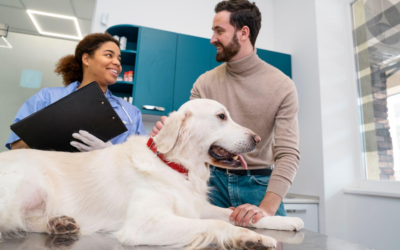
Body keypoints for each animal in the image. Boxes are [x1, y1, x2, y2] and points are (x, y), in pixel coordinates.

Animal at [0, 98, 300, 249]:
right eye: (221, 116)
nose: (258, 139)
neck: (176, 167)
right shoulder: (144, 224)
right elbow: (219, 225)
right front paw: (251, 238)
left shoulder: (196, 208)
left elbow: (234, 214)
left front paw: (281, 222)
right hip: (26, 183)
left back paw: (60, 223)